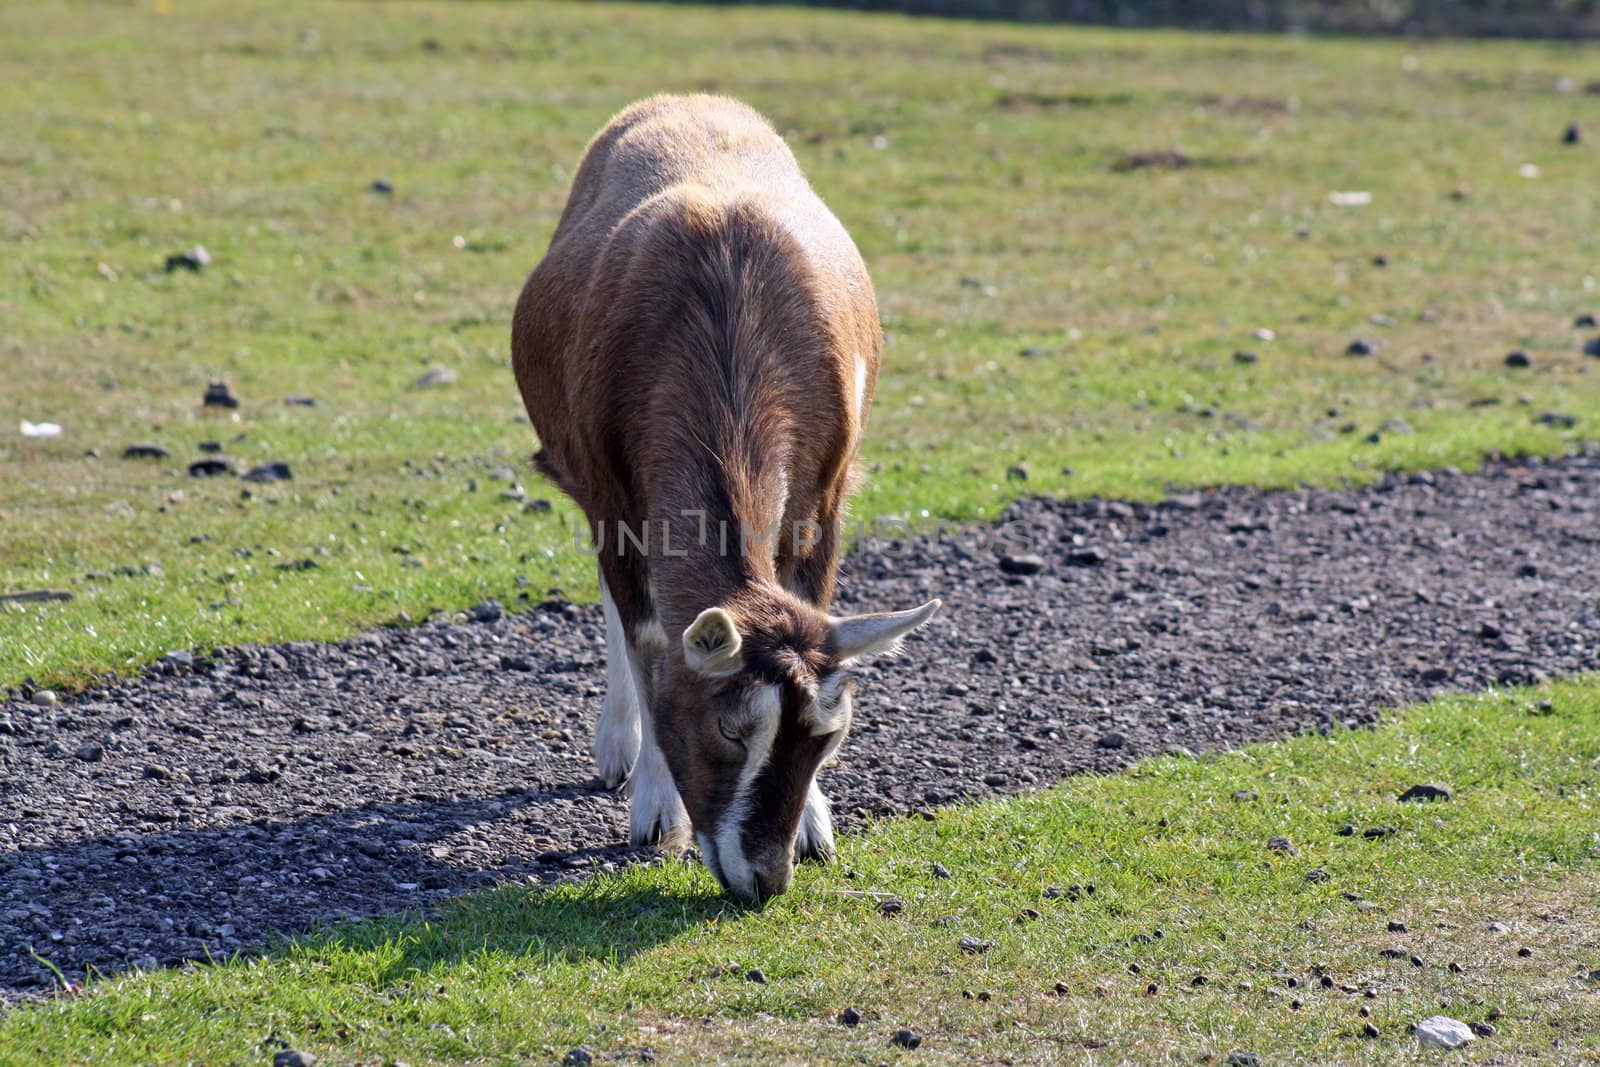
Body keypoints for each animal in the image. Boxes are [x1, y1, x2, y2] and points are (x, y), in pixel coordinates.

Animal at [512, 97, 934, 902]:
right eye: (732, 728)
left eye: (830, 734)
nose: (764, 879)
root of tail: (684, 101)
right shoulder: (614, 497)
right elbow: (648, 637)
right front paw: (655, 809)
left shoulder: (824, 496)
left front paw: (816, 823)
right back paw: (615, 747)